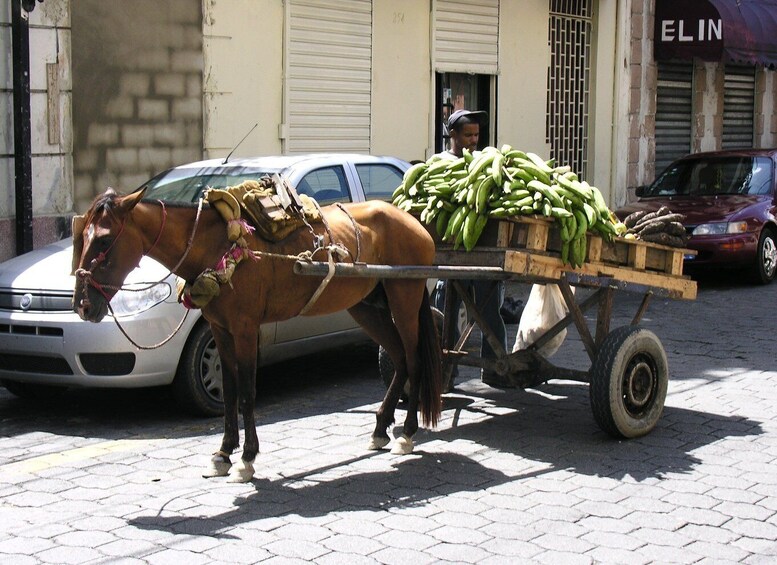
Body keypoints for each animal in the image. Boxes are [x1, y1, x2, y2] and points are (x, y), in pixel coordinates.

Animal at [73, 187, 442, 482]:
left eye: (104, 239)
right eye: (81, 238)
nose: (82, 305)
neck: (215, 246)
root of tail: (414, 222)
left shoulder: (246, 329)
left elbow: (248, 393)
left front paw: (247, 458)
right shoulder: (221, 331)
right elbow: (230, 392)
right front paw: (223, 453)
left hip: (405, 298)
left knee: (414, 359)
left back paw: (407, 433)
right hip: (366, 306)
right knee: (399, 358)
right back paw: (381, 429)